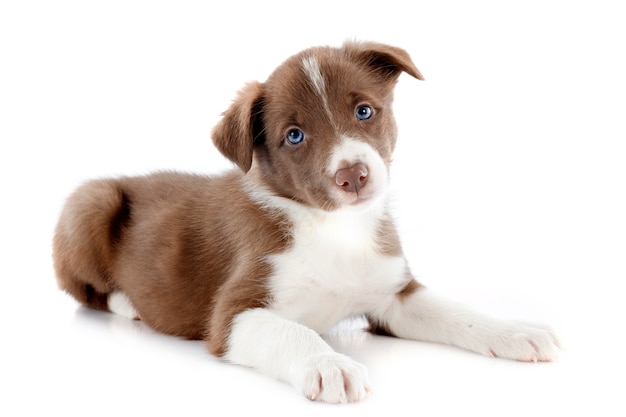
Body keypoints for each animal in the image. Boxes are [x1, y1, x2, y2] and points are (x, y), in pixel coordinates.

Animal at [53, 40, 560, 402]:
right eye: (294, 136)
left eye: (364, 110)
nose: (352, 175)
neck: (335, 229)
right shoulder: (232, 314)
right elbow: (290, 330)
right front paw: (329, 364)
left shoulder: (393, 296)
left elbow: (458, 312)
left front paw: (516, 331)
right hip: (90, 203)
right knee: (86, 290)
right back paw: (129, 304)